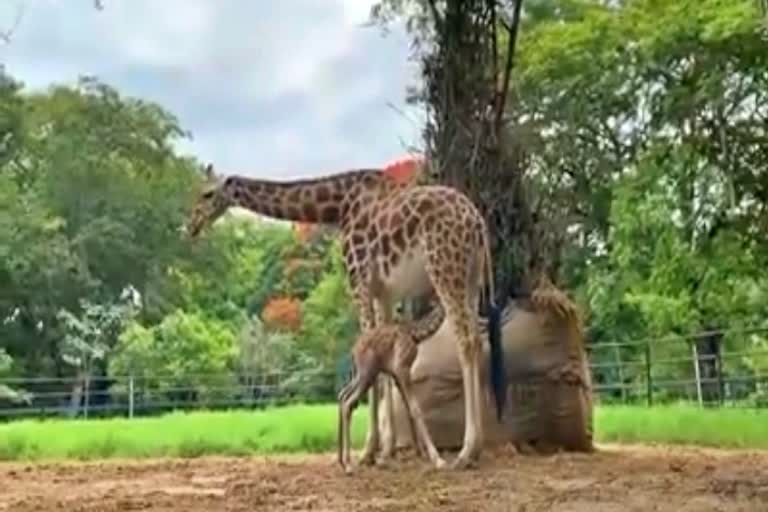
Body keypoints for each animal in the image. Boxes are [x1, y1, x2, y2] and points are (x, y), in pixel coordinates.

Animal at [336, 302, 444, 474]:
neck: (415, 333)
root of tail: (353, 351)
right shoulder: (402, 368)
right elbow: (416, 409)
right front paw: (437, 459)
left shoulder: (396, 375)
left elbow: (408, 409)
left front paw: (421, 453)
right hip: (367, 373)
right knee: (348, 402)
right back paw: (349, 465)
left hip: (361, 374)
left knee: (342, 395)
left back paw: (341, 460)